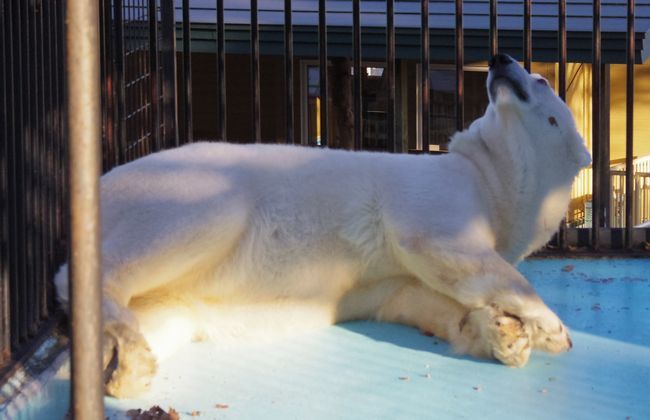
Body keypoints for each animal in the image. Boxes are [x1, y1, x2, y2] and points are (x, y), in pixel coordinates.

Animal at [55, 53, 588, 398]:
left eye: (541, 81)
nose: (500, 59)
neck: (490, 178)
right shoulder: (436, 194)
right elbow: (446, 248)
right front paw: (552, 329)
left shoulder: (395, 279)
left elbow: (416, 297)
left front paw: (505, 334)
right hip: (184, 189)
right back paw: (124, 348)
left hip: (179, 302)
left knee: (167, 315)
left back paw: (119, 365)